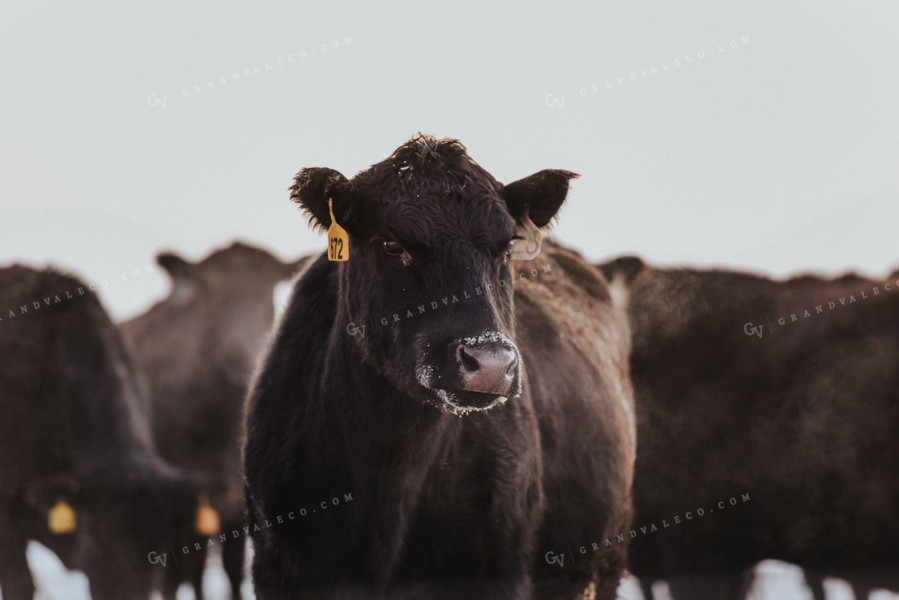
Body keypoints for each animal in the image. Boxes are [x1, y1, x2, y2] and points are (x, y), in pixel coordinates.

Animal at [119, 243, 306, 600]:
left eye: (268, 289)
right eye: (208, 294)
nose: (242, 354)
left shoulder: (235, 501)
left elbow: (233, 570)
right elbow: (180, 572)